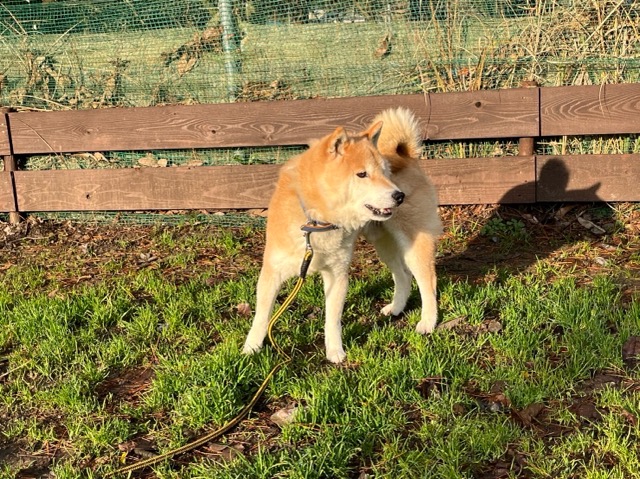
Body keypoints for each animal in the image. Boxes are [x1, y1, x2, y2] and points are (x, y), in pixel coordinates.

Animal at [243, 107, 442, 363]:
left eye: (385, 173)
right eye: (362, 174)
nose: (399, 196)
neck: (316, 222)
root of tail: (404, 154)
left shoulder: (337, 274)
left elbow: (333, 320)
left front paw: (335, 352)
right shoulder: (272, 271)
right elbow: (261, 315)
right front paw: (251, 348)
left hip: (413, 244)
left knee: (428, 282)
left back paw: (428, 322)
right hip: (383, 243)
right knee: (403, 276)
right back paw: (396, 308)